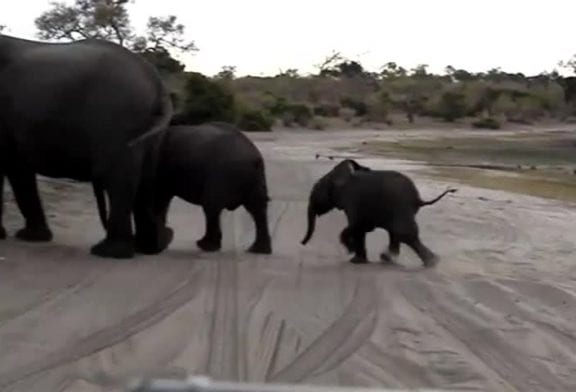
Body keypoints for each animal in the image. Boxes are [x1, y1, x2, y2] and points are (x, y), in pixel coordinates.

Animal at [0, 33, 173, 258]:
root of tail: (158, 85)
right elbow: (18, 168)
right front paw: (32, 237)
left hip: (118, 115)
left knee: (118, 179)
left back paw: (109, 252)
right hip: (148, 130)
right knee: (145, 181)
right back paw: (150, 247)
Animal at [300, 159, 456, 266]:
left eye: (316, 190)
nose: (302, 243)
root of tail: (418, 198)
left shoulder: (353, 200)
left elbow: (356, 226)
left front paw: (351, 253)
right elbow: (361, 230)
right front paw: (357, 259)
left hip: (400, 208)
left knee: (404, 234)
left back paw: (431, 262)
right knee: (397, 234)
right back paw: (389, 259)